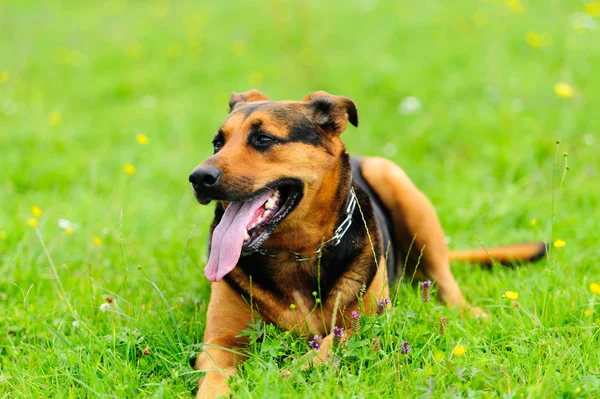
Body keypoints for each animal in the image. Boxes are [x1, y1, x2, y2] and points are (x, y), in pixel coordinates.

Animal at [189, 90, 548, 399]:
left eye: (263, 139)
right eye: (217, 143)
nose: (198, 178)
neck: (296, 253)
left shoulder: (366, 323)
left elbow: (320, 351)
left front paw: (281, 377)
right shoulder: (220, 342)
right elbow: (214, 377)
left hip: (396, 182)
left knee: (445, 280)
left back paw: (472, 313)